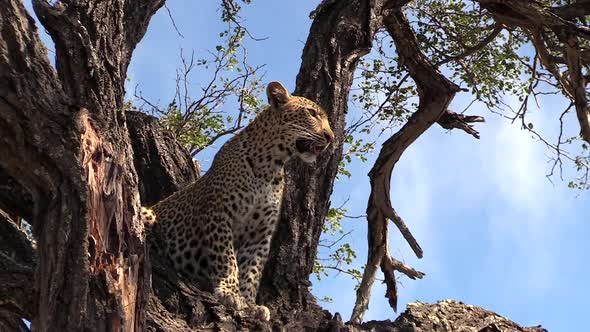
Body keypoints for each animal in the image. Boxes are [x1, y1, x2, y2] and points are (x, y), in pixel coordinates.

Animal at [143, 81, 336, 322]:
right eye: (312, 113)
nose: (331, 138)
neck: (271, 165)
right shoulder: (219, 214)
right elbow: (227, 258)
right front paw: (229, 292)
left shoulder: (260, 233)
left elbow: (252, 269)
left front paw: (250, 304)